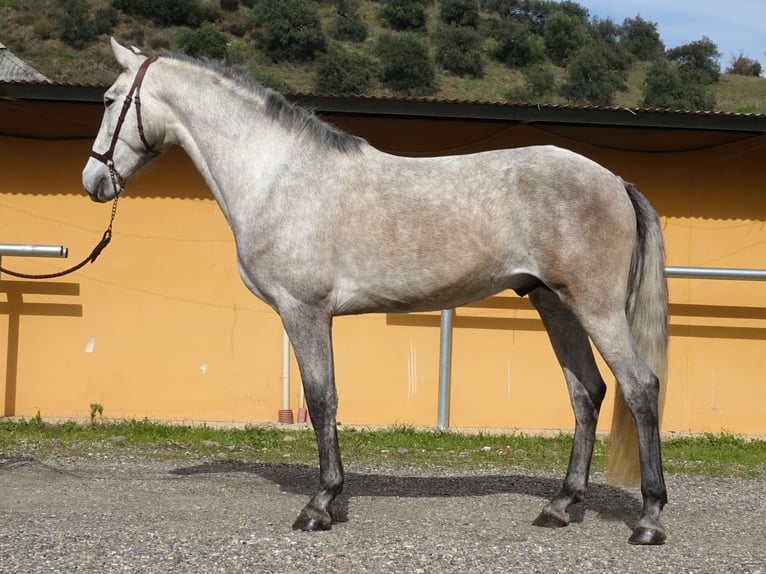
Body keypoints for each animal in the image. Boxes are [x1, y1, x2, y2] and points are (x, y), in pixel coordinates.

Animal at [82, 39, 669, 545]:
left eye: (110, 100)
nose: (93, 181)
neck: (279, 174)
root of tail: (615, 181)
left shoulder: (304, 311)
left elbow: (321, 399)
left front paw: (320, 504)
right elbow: (326, 400)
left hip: (594, 307)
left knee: (639, 387)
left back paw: (649, 518)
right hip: (555, 304)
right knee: (587, 393)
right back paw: (561, 505)